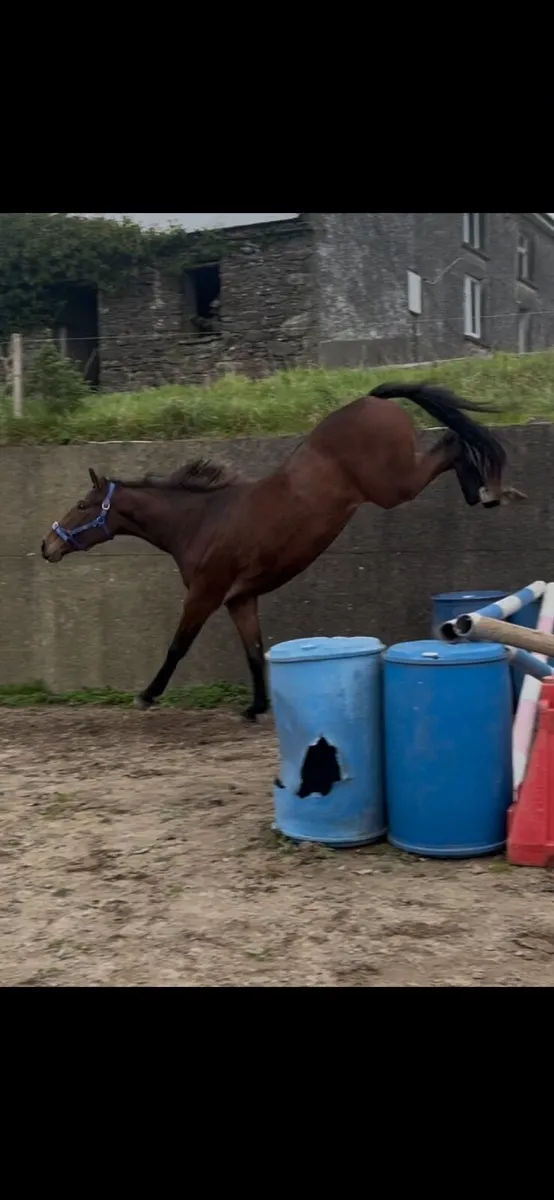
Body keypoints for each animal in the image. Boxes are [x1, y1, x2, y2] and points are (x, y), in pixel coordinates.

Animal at [41, 380, 526, 720]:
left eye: (81, 505)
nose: (47, 545)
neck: (200, 522)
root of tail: (373, 399)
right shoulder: (240, 599)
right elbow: (255, 651)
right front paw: (257, 708)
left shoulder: (205, 595)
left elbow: (178, 646)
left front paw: (147, 695)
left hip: (395, 485)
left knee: (452, 443)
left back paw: (488, 490)